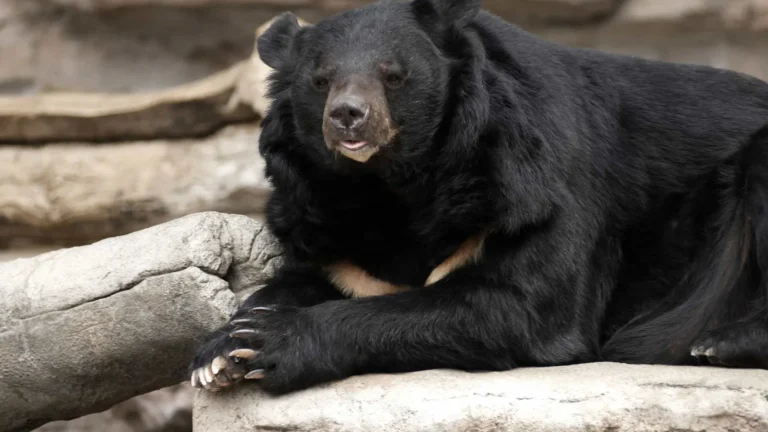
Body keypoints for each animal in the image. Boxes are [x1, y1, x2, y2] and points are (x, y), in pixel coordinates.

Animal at [190, 0, 768, 395]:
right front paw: (219, 353)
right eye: (321, 80)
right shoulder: (321, 215)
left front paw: (273, 342)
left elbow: (518, 304)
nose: (348, 115)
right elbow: (303, 280)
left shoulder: (532, 188)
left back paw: (716, 342)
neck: (388, 184)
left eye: (393, 76)